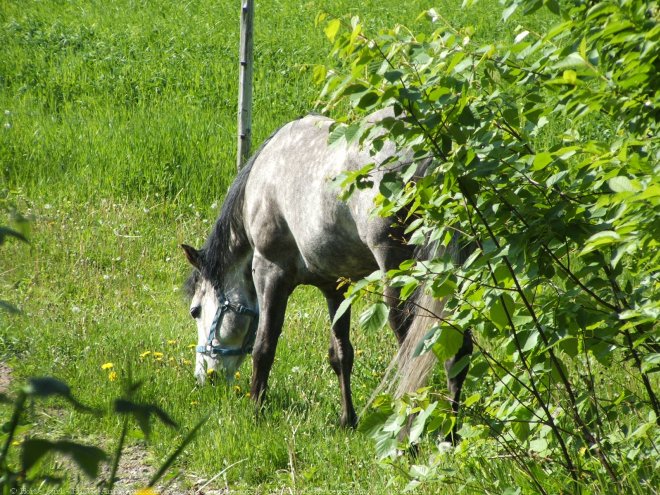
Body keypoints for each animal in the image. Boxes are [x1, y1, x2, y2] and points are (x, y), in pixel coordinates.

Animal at [180, 109, 472, 438]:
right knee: (458, 353)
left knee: (412, 356)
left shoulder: (270, 273)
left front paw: (255, 412)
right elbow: (341, 354)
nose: (205, 378)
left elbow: (264, 347)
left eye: (195, 310)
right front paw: (348, 420)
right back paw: (451, 435)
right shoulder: (335, 287)